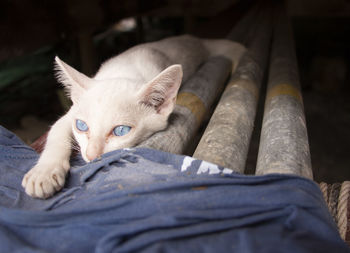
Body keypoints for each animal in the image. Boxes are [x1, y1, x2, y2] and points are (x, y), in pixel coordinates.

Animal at [22, 34, 246, 199]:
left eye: (121, 130)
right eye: (82, 126)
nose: (93, 156)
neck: (124, 71)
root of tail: (195, 38)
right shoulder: (69, 116)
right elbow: (56, 132)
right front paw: (43, 173)